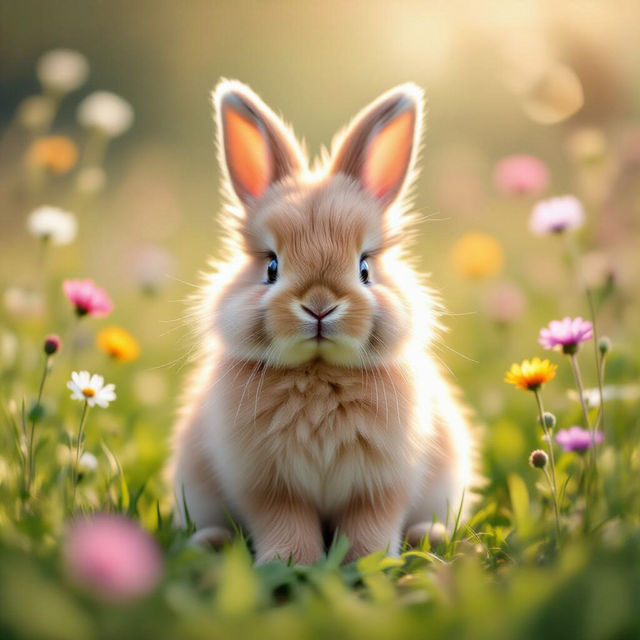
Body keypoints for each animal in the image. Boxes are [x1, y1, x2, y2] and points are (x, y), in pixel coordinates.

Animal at [169, 79, 475, 565]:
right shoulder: (270, 487)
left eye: (365, 267)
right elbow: (285, 524)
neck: (318, 372)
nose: (318, 305)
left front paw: (367, 564)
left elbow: (370, 525)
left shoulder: (380, 487)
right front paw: (290, 564)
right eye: (271, 266)